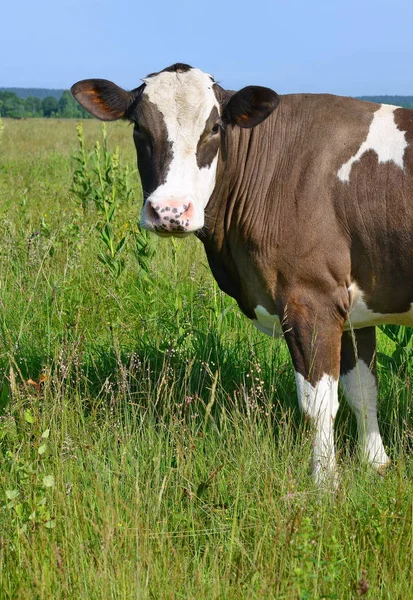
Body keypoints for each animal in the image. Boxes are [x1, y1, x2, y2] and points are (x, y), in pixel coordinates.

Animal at [71, 64, 412, 488]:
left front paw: (323, 483)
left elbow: (318, 403)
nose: (169, 211)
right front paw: (376, 463)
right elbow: (363, 389)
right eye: (138, 128)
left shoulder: (310, 297)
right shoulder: (352, 305)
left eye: (215, 127)